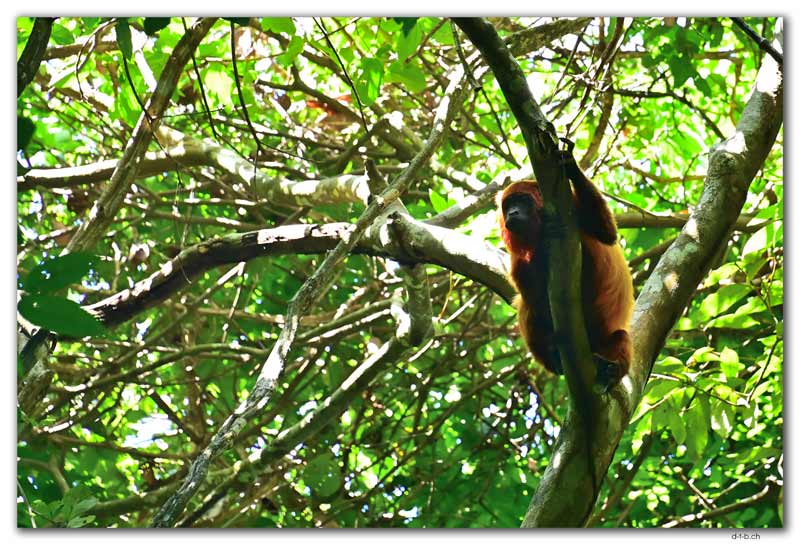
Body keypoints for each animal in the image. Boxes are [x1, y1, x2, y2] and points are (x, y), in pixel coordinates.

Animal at [498, 146, 634, 390]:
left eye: (522, 201)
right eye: (507, 206)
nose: (512, 213)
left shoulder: (572, 208)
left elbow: (607, 233)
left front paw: (571, 166)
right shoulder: (518, 255)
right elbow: (531, 293)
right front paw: (543, 243)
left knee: (620, 336)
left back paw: (612, 371)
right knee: (527, 305)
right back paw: (554, 357)